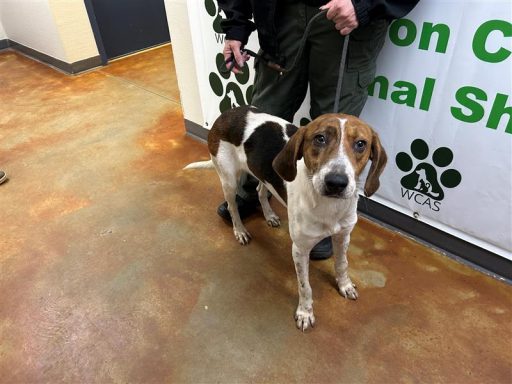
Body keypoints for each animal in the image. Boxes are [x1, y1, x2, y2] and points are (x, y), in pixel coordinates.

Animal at [186, 106, 386, 332]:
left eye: (361, 144)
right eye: (320, 138)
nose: (336, 182)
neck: (329, 206)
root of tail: (228, 113)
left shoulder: (343, 237)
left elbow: (342, 264)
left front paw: (344, 286)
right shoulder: (300, 249)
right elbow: (305, 286)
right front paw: (305, 313)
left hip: (262, 173)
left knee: (260, 190)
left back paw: (269, 215)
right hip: (228, 179)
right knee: (232, 206)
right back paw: (240, 231)